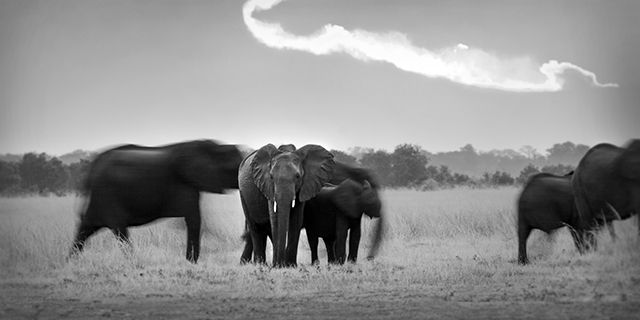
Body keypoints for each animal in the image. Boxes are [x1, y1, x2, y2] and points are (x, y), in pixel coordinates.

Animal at [68, 140, 242, 262]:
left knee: (86, 228)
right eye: (232, 169)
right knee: (119, 230)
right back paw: (133, 263)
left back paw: (70, 262)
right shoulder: (184, 184)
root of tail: (93, 167)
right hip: (107, 196)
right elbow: (194, 218)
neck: (211, 147)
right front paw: (191, 262)